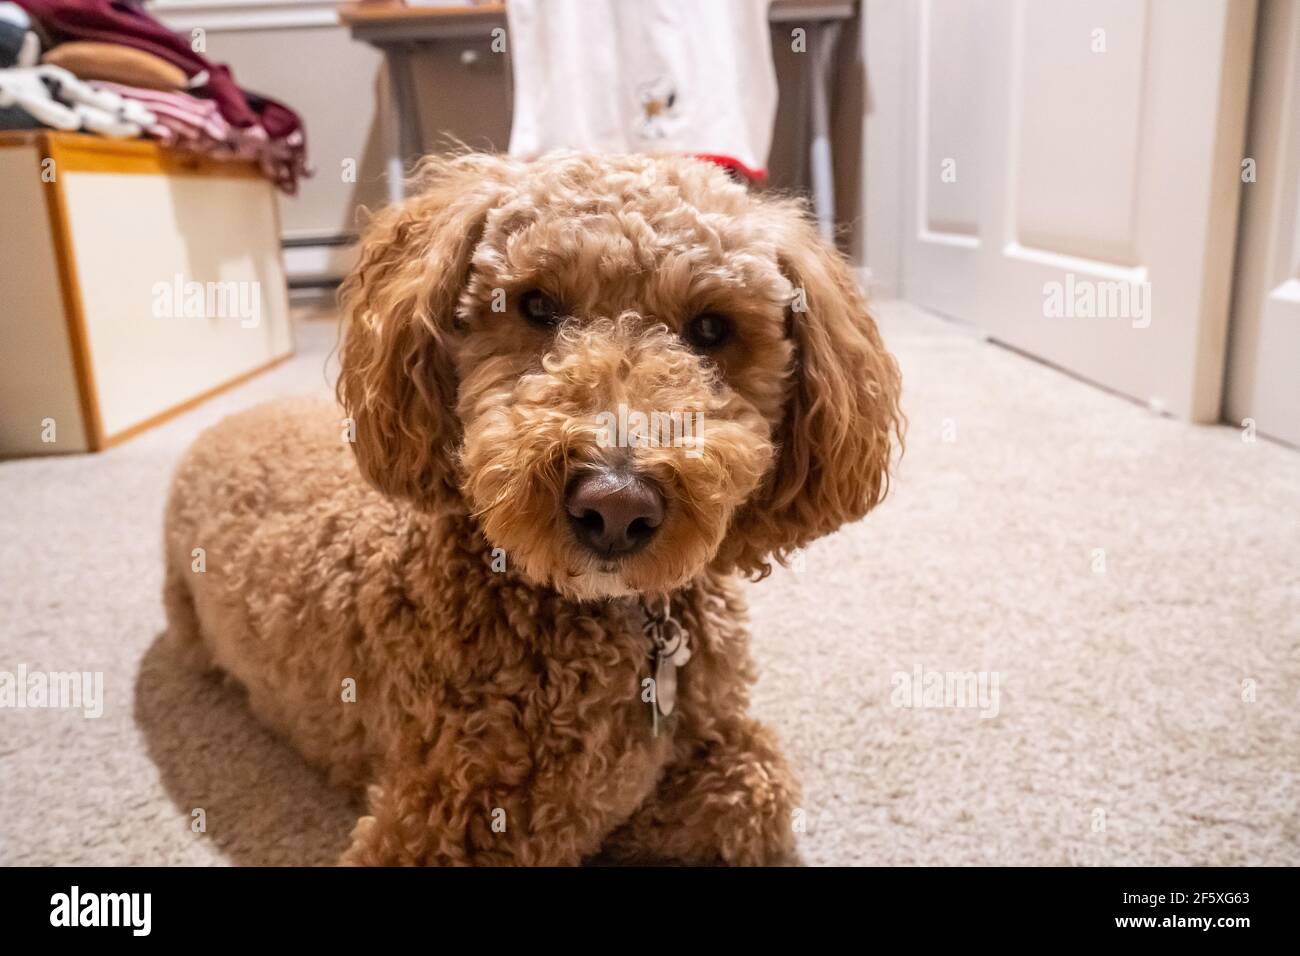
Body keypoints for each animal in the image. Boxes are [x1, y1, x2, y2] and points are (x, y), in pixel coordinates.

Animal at [162, 151, 899, 868]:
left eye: (713, 327)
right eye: (537, 304)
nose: (616, 507)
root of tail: (215, 427)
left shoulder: (708, 742)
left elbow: (757, 791)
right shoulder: (432, 826)